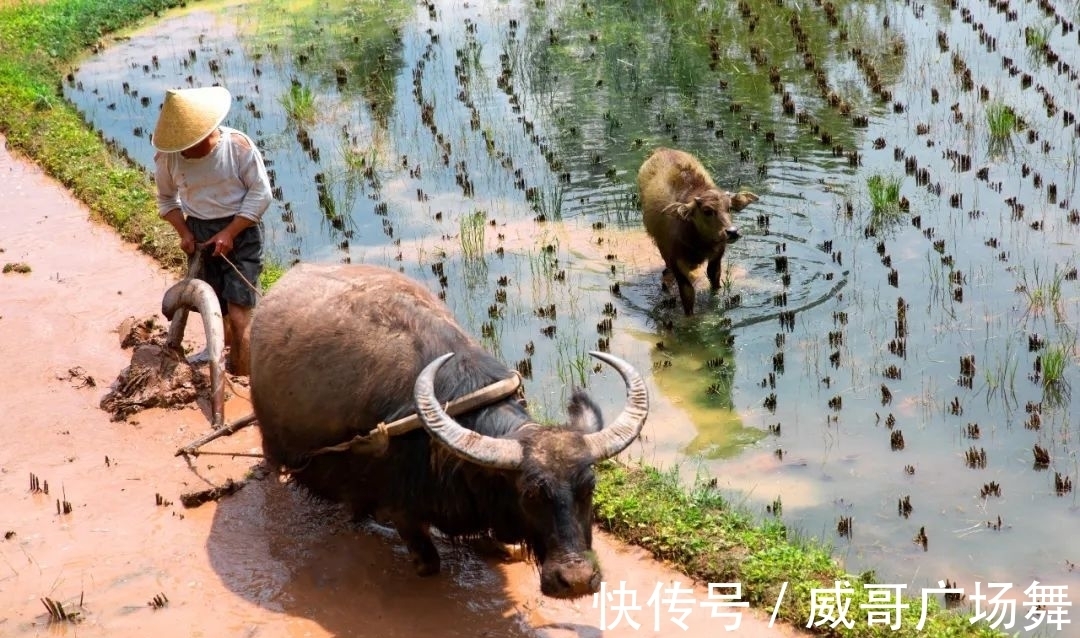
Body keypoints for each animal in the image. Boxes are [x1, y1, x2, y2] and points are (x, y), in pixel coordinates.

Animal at [250, 263, 648, 600]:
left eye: (589, 487)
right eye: (531, 494)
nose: (576, 580)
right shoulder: (402, 505)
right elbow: (427, 559)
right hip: (274, 444)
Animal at [635, 144, 756, 315]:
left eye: (729, 208)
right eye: (707, 211)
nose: (732, 232)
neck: (699, 243)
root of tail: (662, 150)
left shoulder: (716, 257)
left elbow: (715, 283)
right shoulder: (676, 263)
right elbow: (688, 295)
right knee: (667, 273)